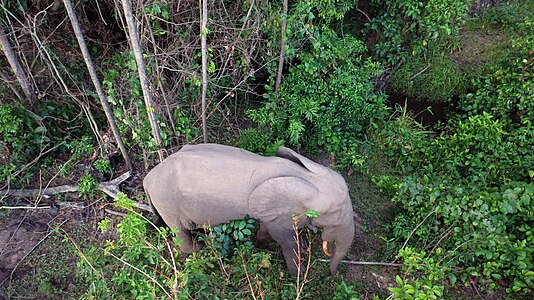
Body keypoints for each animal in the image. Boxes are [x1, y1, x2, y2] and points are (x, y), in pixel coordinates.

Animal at [144, 143, 358, 274]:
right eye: (334, 215)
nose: (333, 274)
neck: (306, 177)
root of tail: (148, 178)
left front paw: (261, 242)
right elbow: (286, 240)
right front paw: (295, 272)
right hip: (167, 201)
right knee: (180, 231)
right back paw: (200, 247)